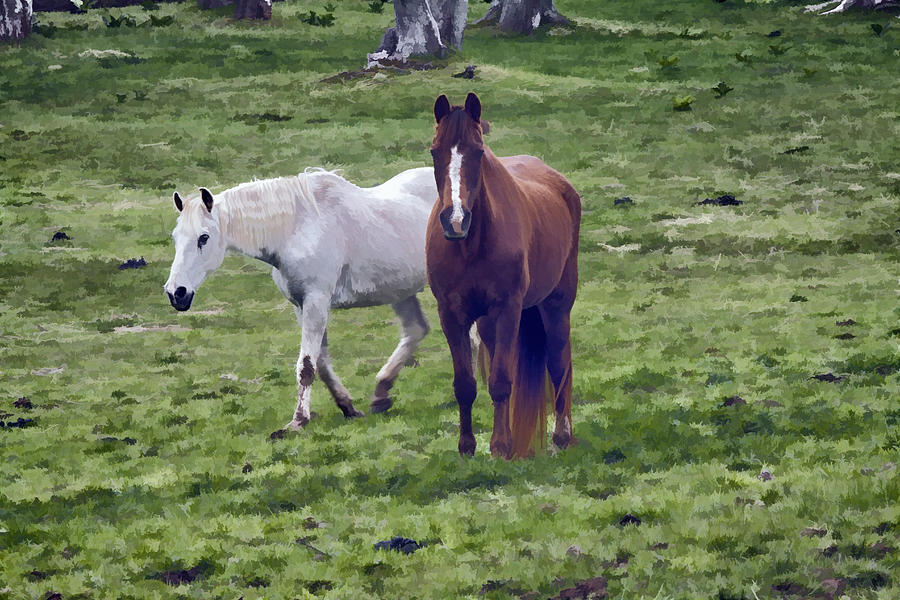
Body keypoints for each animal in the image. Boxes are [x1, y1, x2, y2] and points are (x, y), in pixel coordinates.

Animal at [168, 166, 440, 434]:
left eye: (204, 237)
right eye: (175, 237)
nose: (176, 293)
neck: (298, 228)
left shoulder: (316, 302)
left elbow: (307, 365)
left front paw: (298, 421)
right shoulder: (301, 306)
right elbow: (320, 360)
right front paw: (347, 407)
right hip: (401, 292)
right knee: (416, 330)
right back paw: (381, 394)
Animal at [426, 94, 580, 460]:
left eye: (478, 151)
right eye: (434, 151)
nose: (455, 220)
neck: (470, 247)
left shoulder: (509, 309)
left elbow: (500, 382)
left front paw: (499, 447)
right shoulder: (450, 314)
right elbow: (465, 385)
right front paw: (467, 446)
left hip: (556, 306)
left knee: (559, 364)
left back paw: (561, 437)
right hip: (488, 322)